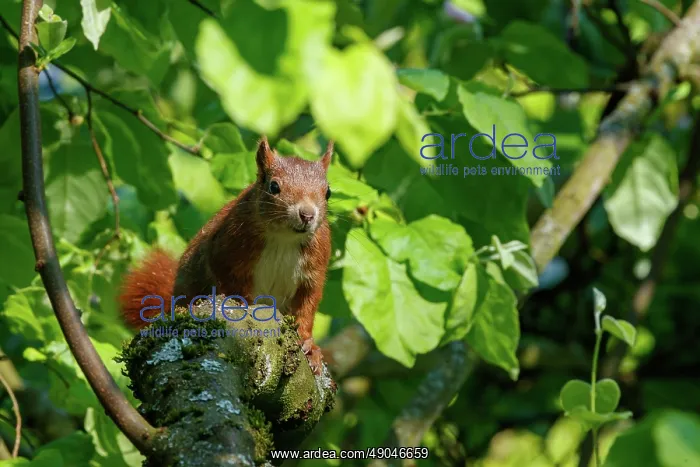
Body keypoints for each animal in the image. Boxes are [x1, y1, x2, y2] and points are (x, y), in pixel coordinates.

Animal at [118, 137, 333, 375]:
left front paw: (310, 346)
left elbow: (306, 308)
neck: (284, 238)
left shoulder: (313, 271)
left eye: (328, 192)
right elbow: (230, 283)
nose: (307, 214)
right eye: (274, 186)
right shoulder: (224, 250)